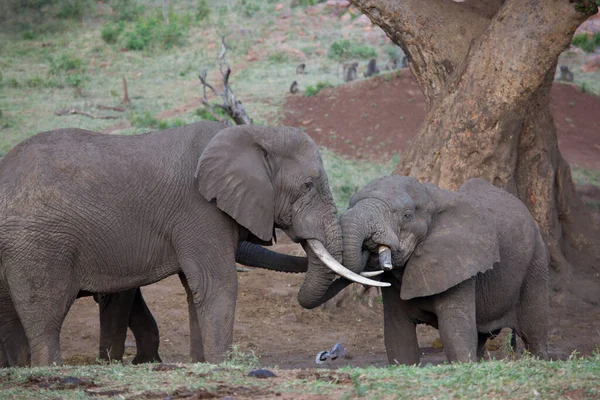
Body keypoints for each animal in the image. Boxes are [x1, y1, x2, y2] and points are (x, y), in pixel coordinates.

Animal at [0, 122, 384, 366]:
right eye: (307, 186)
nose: (376, 251)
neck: (253, 132)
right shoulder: (199, 210)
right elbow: (217, 284)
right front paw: (221, 364)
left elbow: (194, 288)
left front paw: (200, 364)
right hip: (38, 242)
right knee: (45, 309)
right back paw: (49, 369)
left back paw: (19, 368)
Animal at [336, 177, 552, 364]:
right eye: (349, 205)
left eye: (407, 216)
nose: (369, 244)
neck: (432, 199)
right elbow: (398, 336)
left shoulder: (460, 262)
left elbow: (455, 332)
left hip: (536, 259)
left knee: (533, 332)